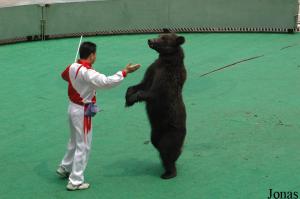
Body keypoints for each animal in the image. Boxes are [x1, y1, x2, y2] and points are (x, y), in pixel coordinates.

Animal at [125, 29, 186, 180]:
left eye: (163, 38)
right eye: (158, 35)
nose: (150, 40)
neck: (166, 60)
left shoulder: (167, 79)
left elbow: (151, 93)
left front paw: (134, 97)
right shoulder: (153, 69)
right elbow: (141, 84)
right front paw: (128, 98)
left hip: (172, 131)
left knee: (167, 148)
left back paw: (169, 173)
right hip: (156, 131)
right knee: (157, 143)